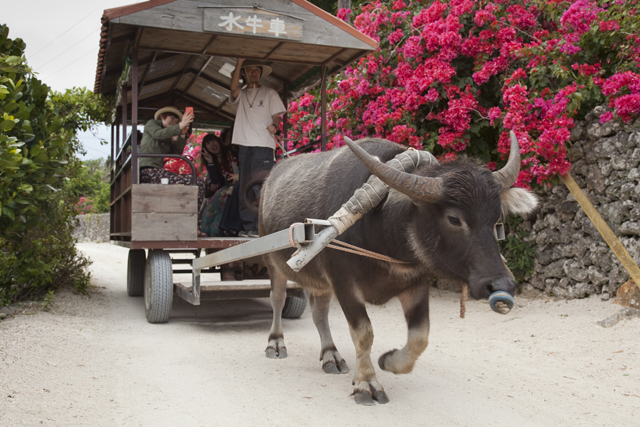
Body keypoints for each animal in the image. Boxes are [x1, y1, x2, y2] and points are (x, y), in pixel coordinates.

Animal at [258, 135, 536, 406]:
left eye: (495, 219)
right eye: (454, 219)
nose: (502, 285)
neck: (382, 235)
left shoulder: (416, 284)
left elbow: (420, 335)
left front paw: (390, 362)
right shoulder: (344, 283)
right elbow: (363, 332)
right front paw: (367, 384)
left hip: (320, 281)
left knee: (319, 313)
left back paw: (331, 356)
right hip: (272, 263)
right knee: (278, 299)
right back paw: (276, 343)